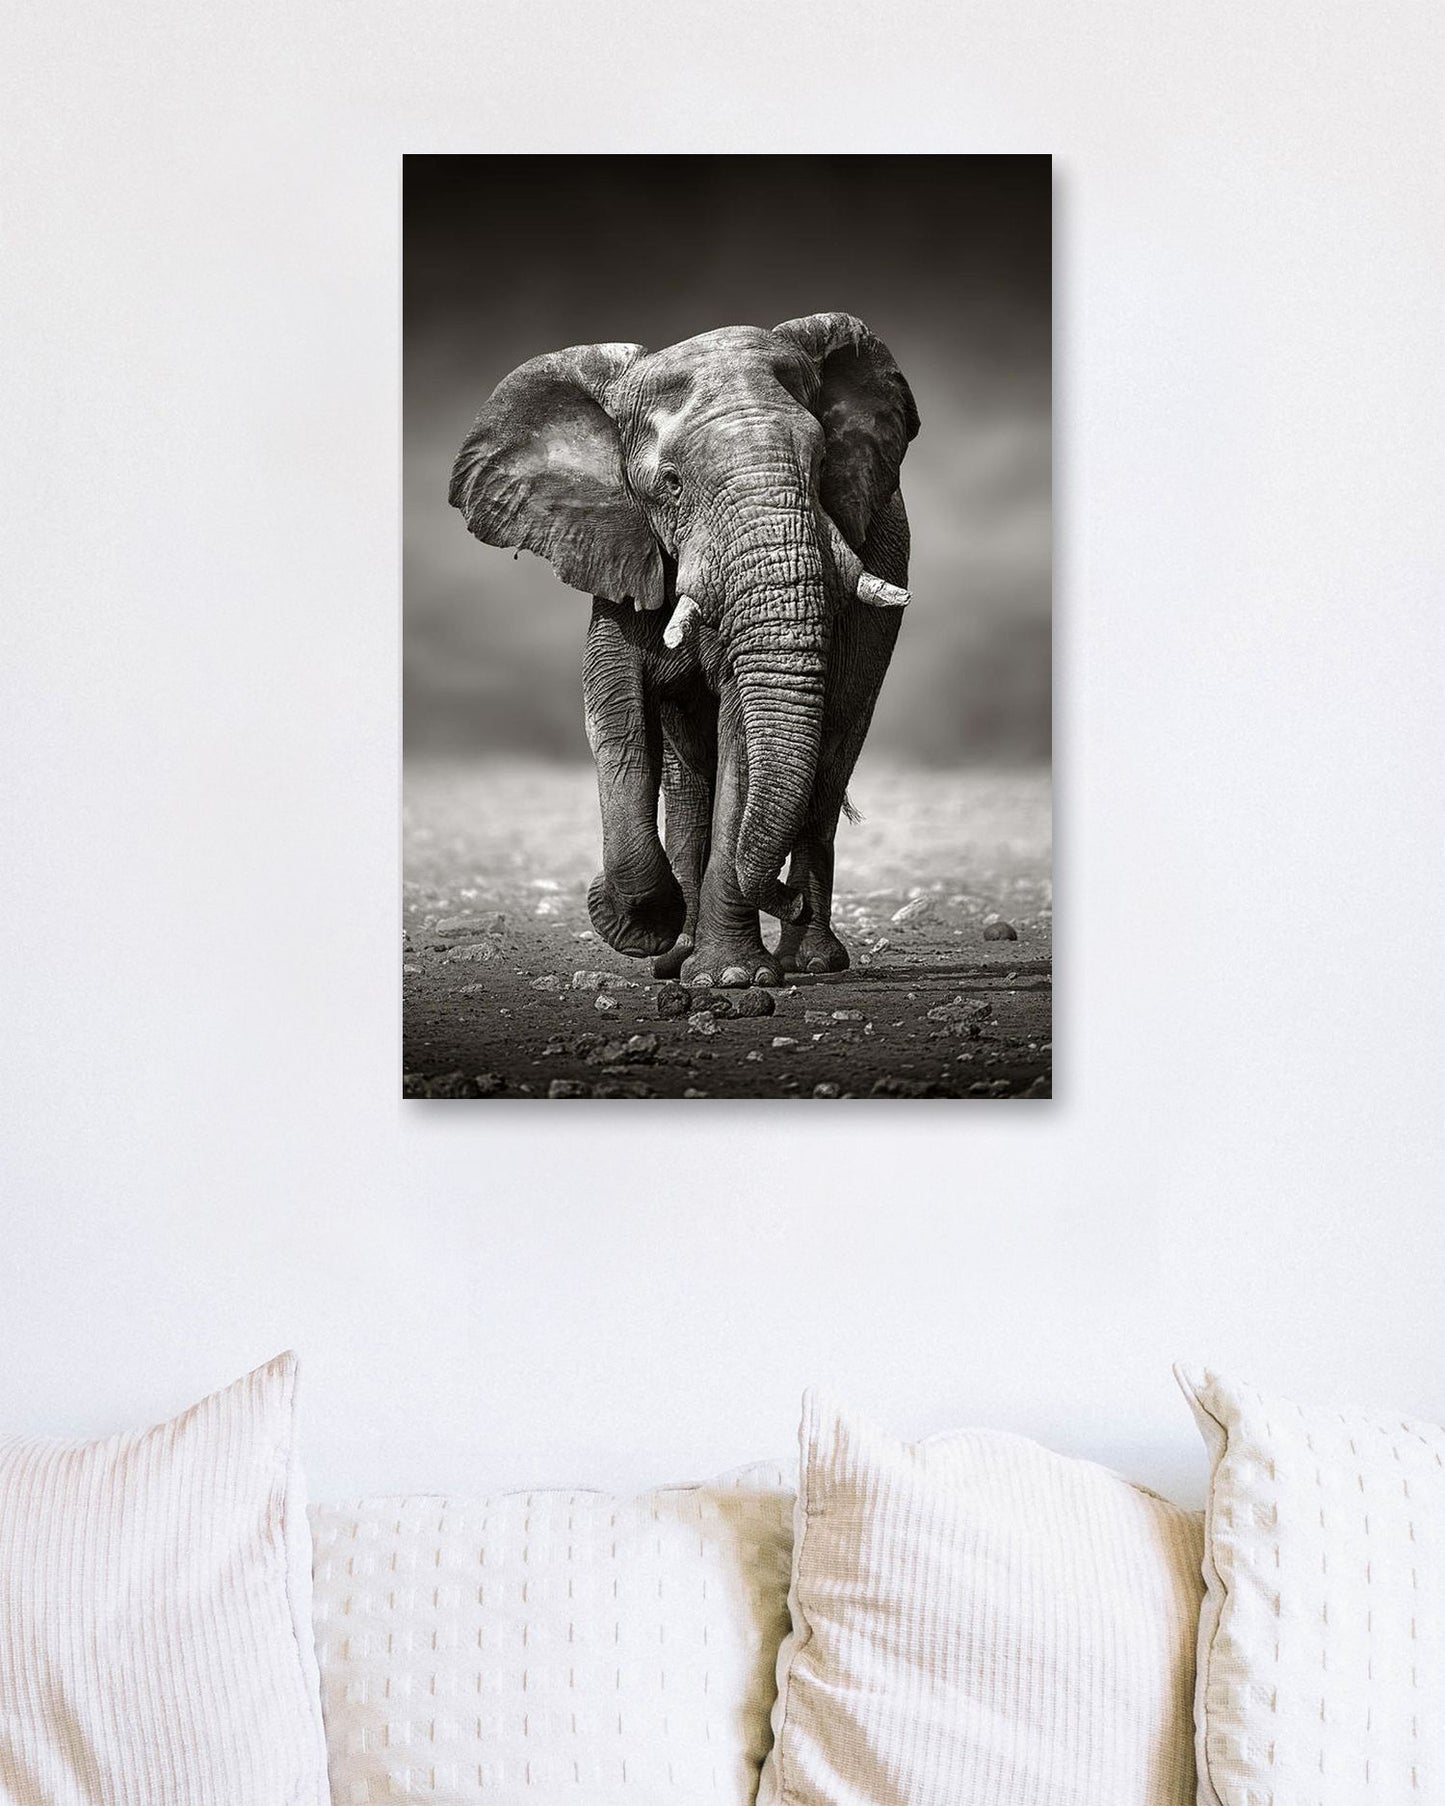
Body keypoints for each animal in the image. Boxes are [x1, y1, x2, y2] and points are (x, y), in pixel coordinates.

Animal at [448, 313, 918, 989]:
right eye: (669, 483)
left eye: (824, 461)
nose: (784, 899)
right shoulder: (620, 548)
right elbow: (614, 713)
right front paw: (642, 929)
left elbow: (742, 736)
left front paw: (733, 979)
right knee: (689, 775)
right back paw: (679, 956)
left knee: (830, 760)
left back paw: (808, 961)